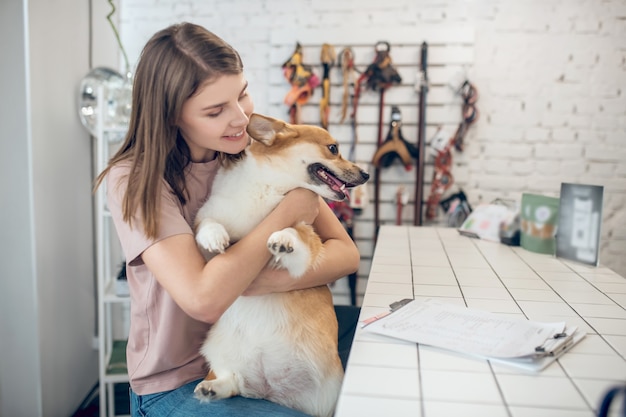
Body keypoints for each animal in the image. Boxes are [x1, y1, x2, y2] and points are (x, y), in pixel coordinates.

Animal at [193, 113, 368, 416]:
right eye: (333, 148)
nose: (366, 174)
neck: (269, 187)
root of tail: (269, 392)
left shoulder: (308, 240)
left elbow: (294, 231)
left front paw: (283, 239)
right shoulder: (208, 224)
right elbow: (208, 224)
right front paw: (214, 237)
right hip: (218, 349)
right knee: (232, 379)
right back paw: (212, 388)